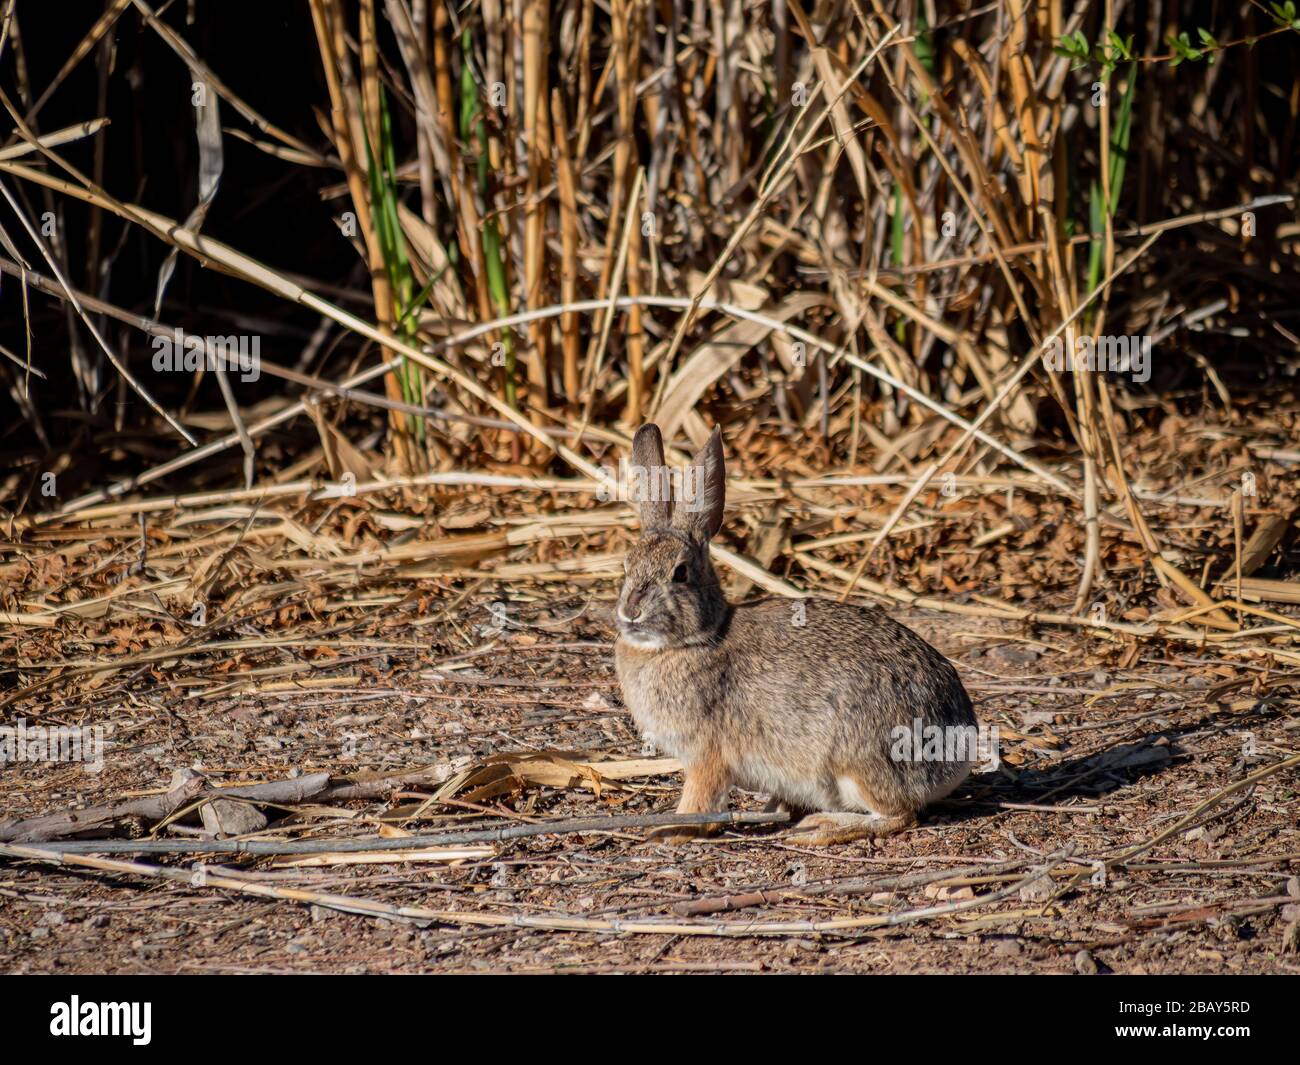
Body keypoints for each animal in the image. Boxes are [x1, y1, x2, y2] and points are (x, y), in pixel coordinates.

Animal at [616, 421, 977, 847]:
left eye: (680, 573)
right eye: (626, 566)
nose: (630, 613)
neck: (699, 637)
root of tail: (959, 748)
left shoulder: (707, 755)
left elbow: (699, 800)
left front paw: (667, 830)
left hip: (856, 760)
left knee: (899, 815)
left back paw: (817, 828)